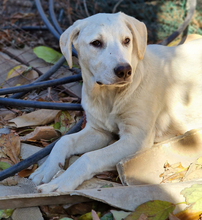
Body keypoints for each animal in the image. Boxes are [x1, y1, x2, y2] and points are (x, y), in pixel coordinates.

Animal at [29, 12, 202, 192]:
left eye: (127, 40)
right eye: (96, 43)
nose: (124, 70)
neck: (109, 96)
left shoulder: (136, 139)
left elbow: (89, 157)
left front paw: (61, 182)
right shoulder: (98, 131)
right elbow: (64, 141)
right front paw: (46, 169)